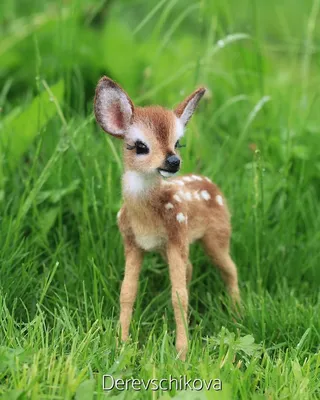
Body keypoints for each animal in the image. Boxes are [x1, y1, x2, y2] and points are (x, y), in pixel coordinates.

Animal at [94, 76, 240, 360]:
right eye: (140, 146)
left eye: (178, 142)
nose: (173, 161)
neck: (145, 218)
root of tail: (213, 184)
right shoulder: (132, 242)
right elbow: (127, 291)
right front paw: (121, 344)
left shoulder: (177, 234)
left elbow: (178, 296)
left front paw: (181, 353)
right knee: (191, 268)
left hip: (216, 235)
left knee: (230, 269)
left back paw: (238, 315)